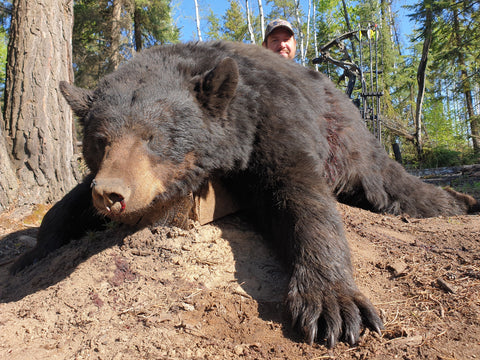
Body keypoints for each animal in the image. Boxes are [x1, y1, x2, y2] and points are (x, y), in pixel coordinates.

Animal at [11, 40, 476, 348]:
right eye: (100, 140)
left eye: (153, 136)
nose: (111, 193)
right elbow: (66, 205)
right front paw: (30, 254)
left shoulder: (272, 117)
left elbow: (299, 193)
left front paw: (332, 302)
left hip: (350, 145)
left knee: (391, 185)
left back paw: (462, 201)